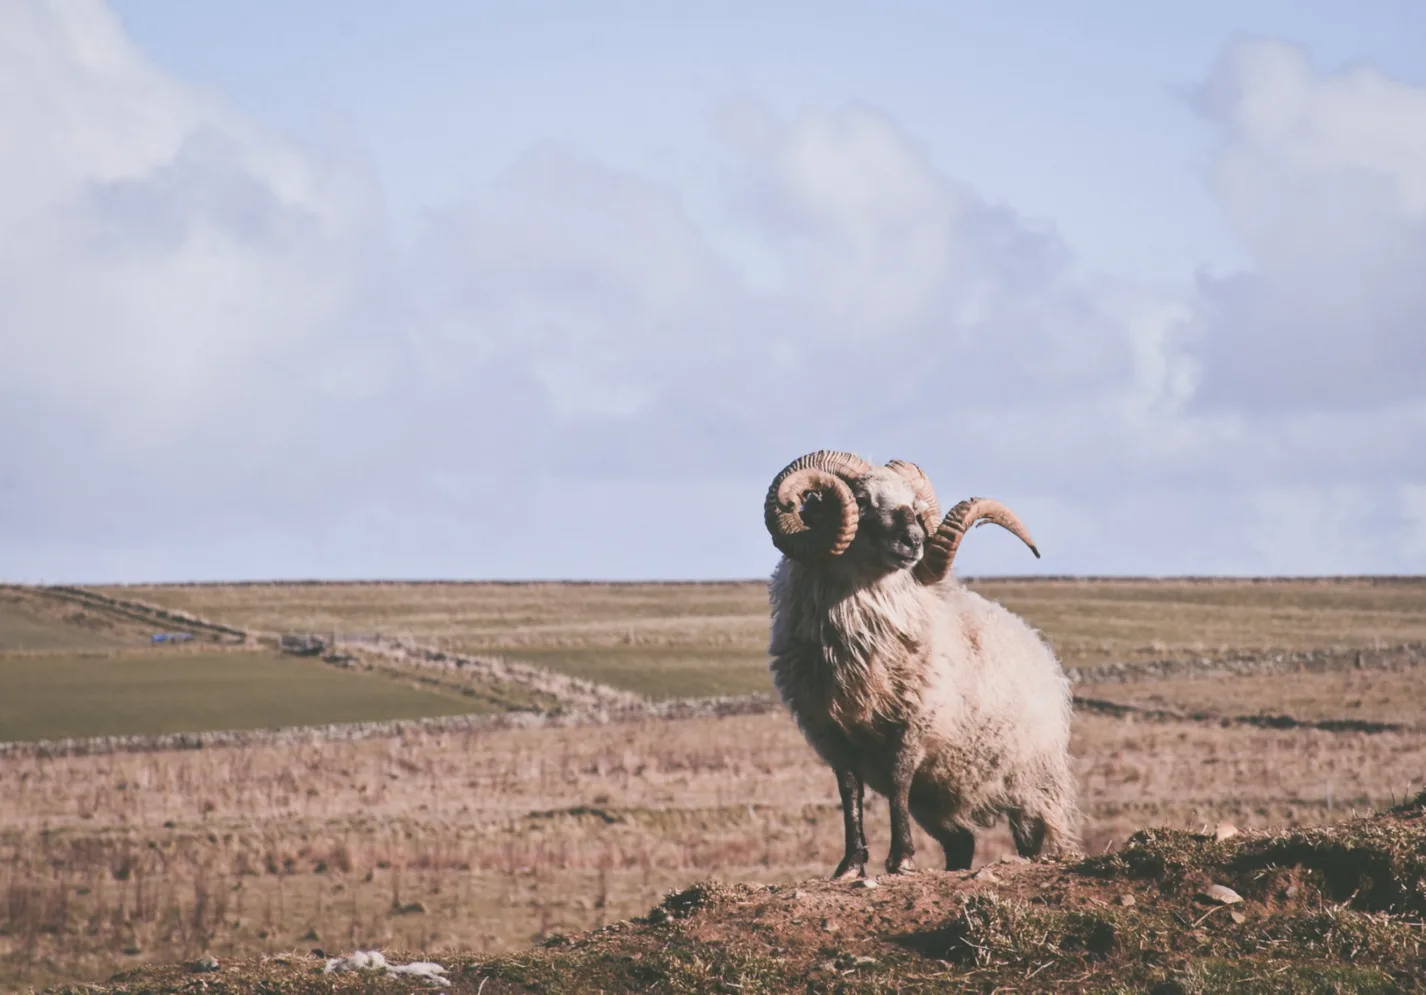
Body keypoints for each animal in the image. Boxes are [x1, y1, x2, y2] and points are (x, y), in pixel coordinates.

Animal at [764, 450, 1077, 878]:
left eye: (914, 507)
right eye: (861, 500)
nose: (913, 541)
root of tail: (1040, 648)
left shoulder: (914, 721)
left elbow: (898, 781)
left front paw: (902, 859)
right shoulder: (829, 729)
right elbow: (849, 789)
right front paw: (851, 863)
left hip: (1031, 783)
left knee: (1035, 838)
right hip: (939, 795)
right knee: (962, 843)